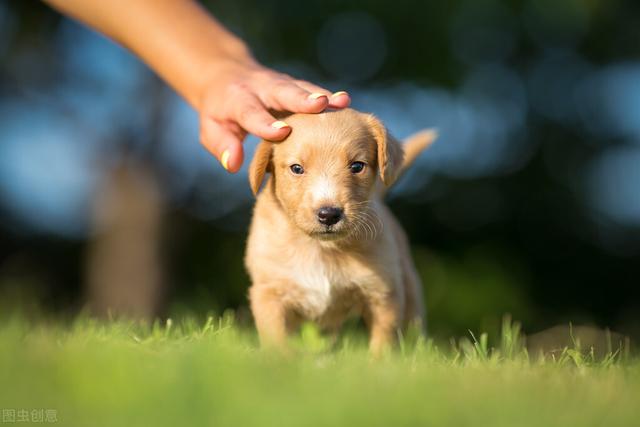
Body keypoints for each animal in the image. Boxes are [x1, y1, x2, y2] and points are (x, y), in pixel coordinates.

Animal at [244, 109, 436, 354]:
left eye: (357, 166)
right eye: (296, 168)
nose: (329, 214)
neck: (320, 248)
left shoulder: (384, 294)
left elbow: (383, 340)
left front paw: (380, 363)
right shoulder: (269, 292)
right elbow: (276, 338)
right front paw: (279, 360)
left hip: (409, 287)